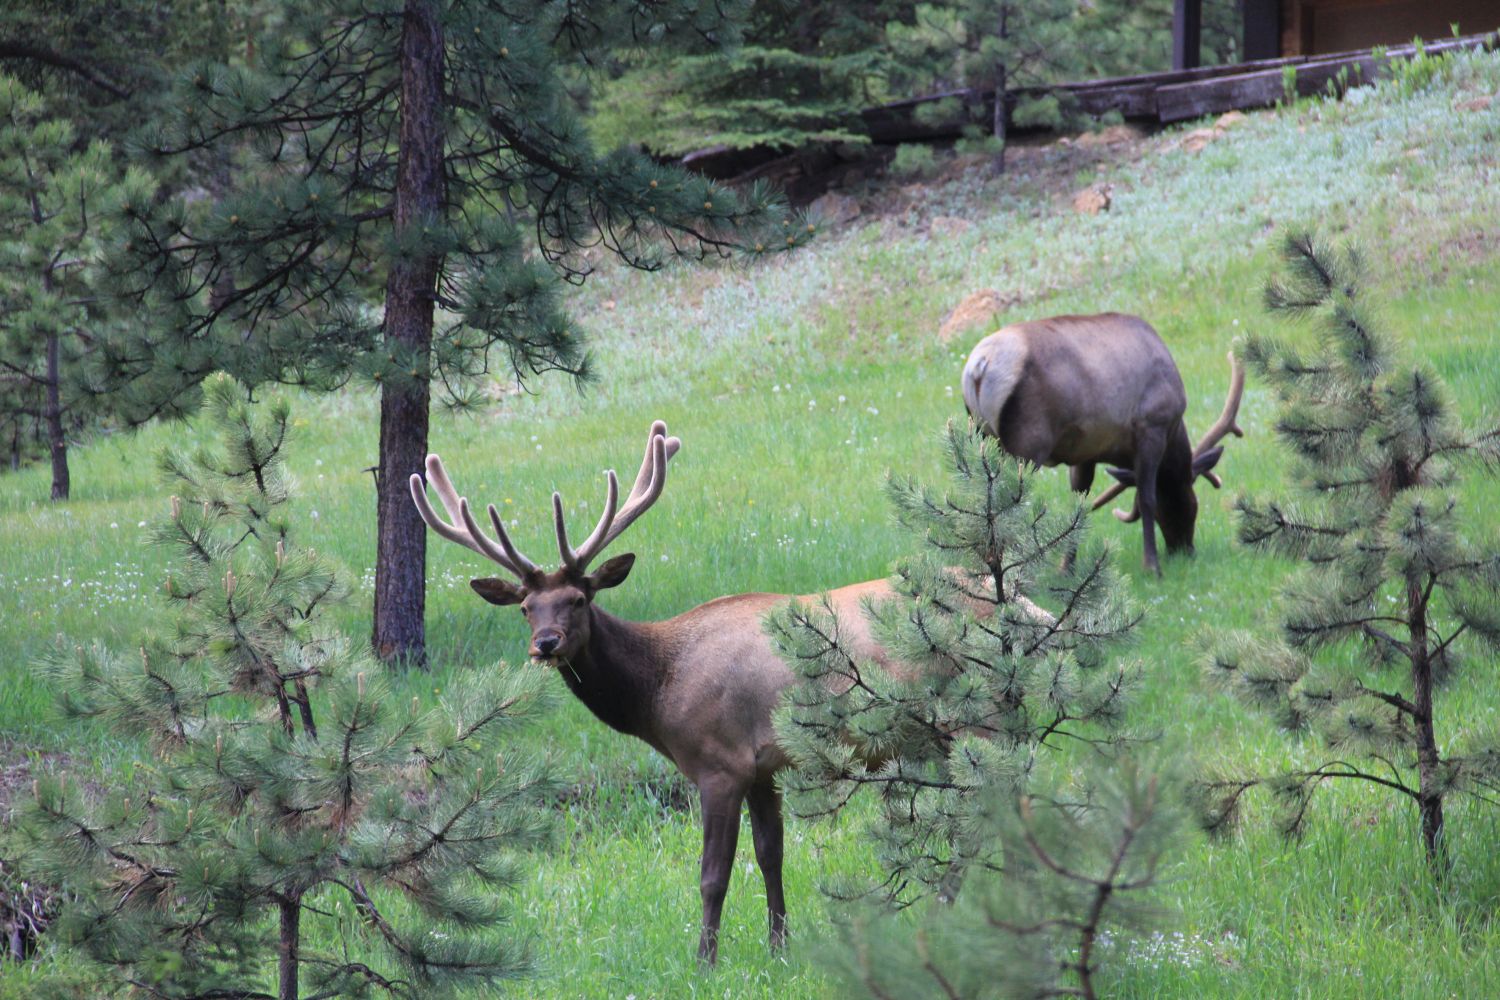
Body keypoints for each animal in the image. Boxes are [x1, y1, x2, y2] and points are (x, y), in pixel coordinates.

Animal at [405, 425, 912, 965]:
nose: (546, 643)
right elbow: (770, 855)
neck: (659, 694)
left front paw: (705, 961)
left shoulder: (721, 764)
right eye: (526, 607)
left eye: (578, 599)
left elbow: (713, 875)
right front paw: (779, 948)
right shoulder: (762, 767)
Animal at [966, 313, 1248, 578]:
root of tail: (980, 366)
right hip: (1028, 442)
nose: (1184, 550)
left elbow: (1079, 505)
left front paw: (1066, 568)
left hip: (983, 437)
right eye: (1191, 499)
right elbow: (1147, 497)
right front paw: (1152, 566)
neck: (1173, 433)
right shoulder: (1151, 427)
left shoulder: (1085, 453)